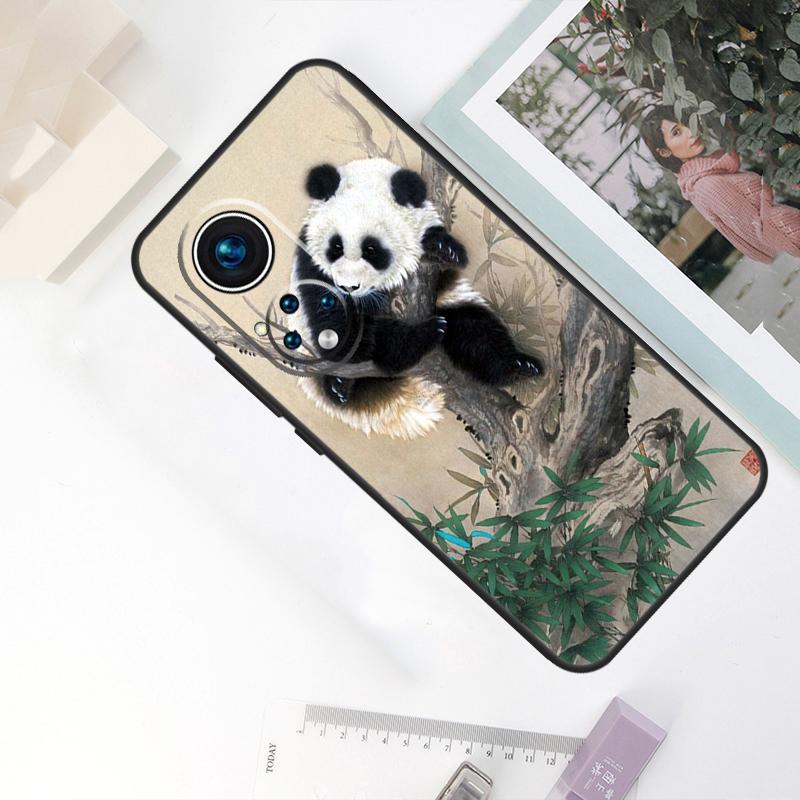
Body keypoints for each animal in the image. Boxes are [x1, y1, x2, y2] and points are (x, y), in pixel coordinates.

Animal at [287, 157, 542, 439]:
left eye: (371, 249)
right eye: (336, 246)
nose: (349, 287)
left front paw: (442, 249)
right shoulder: (310, 264)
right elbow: (336, 320)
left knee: (478, 333)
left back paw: (518, 367)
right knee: (381, 344)